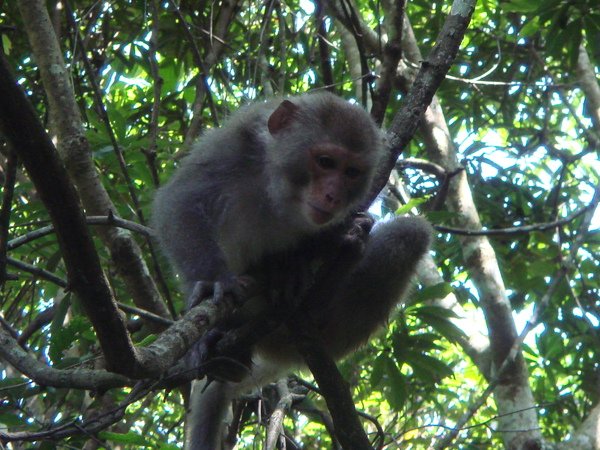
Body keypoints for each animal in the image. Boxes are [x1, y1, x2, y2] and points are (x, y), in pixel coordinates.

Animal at [150, 91, 432, 450]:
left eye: (352, 172)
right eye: (325, 162)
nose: (332, 195)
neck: (282, 191)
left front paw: (304, 260)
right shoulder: (232, 147)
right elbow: (181, 201)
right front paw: (214, 281)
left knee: (411, 233)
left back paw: (328, 279)